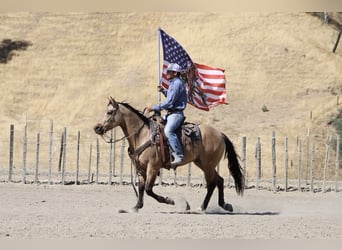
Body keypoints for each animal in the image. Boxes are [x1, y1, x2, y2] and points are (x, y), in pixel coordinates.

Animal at [93, 96, 243, 212]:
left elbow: (148, 189)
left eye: (110, 112)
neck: (143, 135)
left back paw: (203, 207)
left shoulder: (153, 167)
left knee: (212, 183)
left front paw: (169, 200)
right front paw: (136, 206)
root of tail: (220, 134)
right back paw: (222, 205)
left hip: (208, 165)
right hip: (202, 163)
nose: (97, 128)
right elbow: (141, 188)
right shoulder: (140, 168)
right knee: (219, 180)